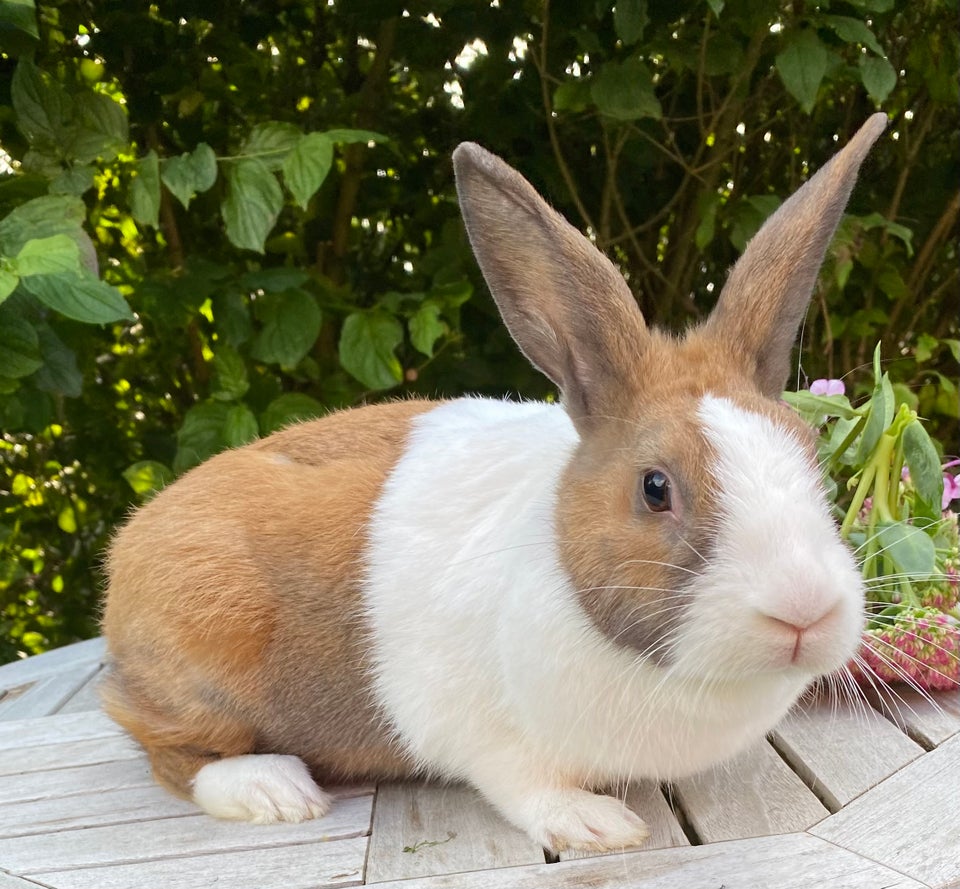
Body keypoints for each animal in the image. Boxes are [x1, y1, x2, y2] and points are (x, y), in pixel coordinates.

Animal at [101, 111, 888, 852]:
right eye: (655, 487)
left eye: (813, 461)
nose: (805, 609)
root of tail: (127, 550)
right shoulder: (482, 733)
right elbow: (524, 785)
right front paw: (597, 825)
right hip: (202, 660)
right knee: (166, 749)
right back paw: (277, 790)